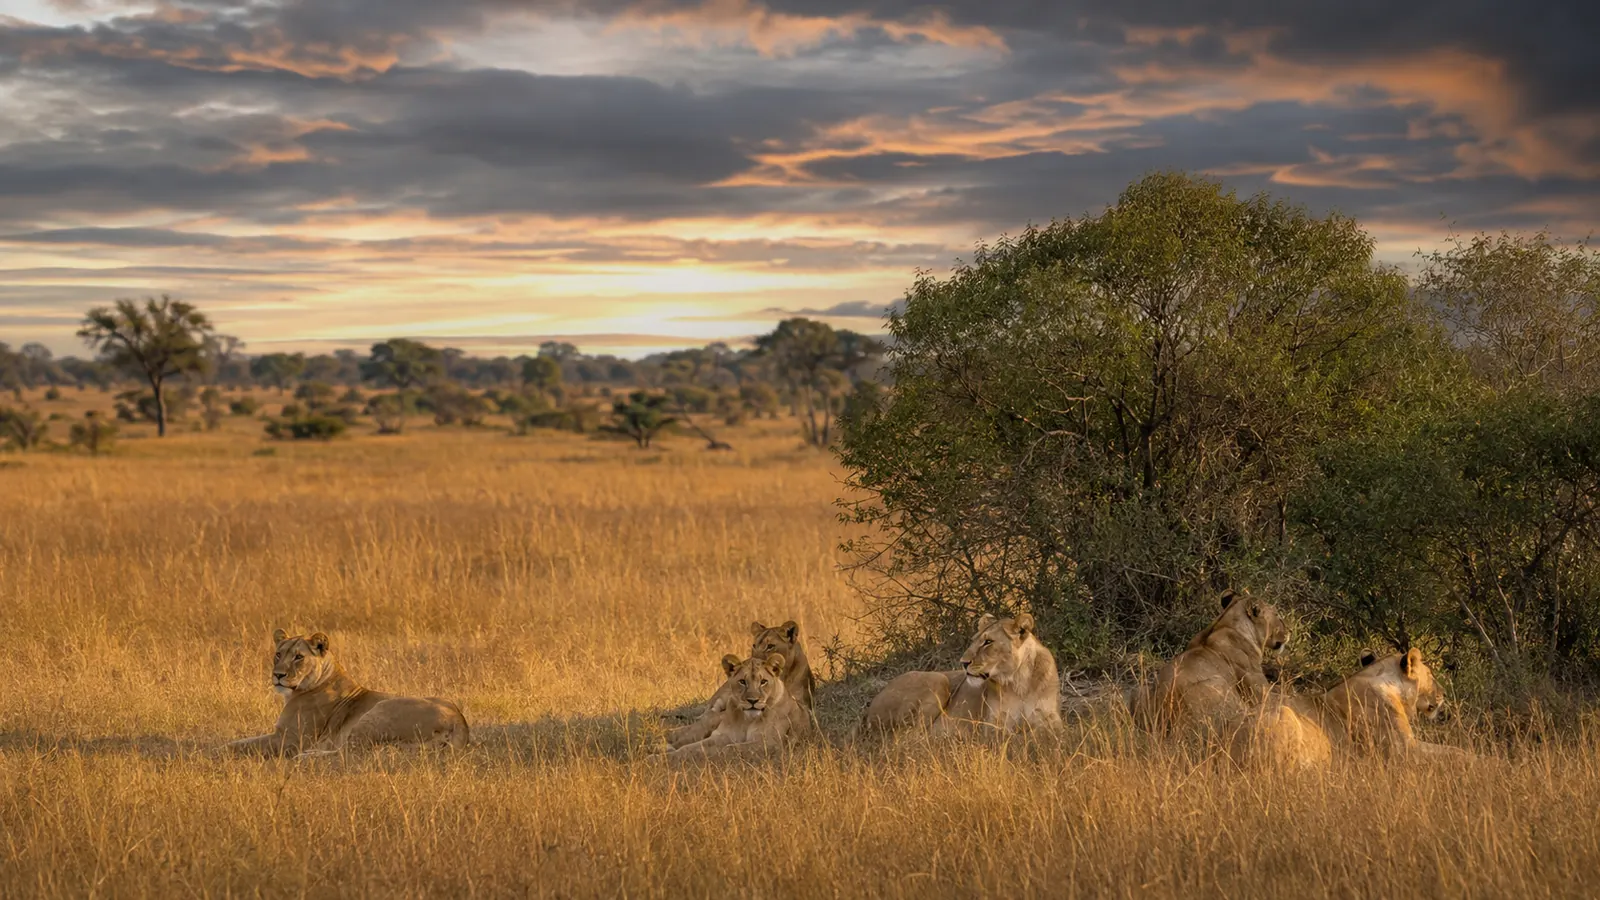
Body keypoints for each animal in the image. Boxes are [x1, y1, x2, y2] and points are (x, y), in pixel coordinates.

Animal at [218, 629, 470, 758]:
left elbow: (243, 745)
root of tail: (460, 723)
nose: (278, 675)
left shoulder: (291, 739)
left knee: (347, 753)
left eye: (298, 657)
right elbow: (243, 740)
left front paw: (216, 751)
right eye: (278, 654)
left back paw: (307, 757)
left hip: (377, 712)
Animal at [659, 653, 811, 759]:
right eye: (742, 681)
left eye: (763, 682)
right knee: (681, 734)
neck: (747, 720)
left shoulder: (768, 743)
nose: (752, 701)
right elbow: (690, 747)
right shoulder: (722, 735)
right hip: (709, 721)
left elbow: (729, 748)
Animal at [861, 613, 1061, 735]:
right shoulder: (992, 724)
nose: (963, 663)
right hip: (938, 679)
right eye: (974, 640)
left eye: (988, 642)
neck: (1019, 681)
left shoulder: (1051, 720)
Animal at [1131, 590, 1289, 734]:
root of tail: (1163, 717)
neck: (1227, 625)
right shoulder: (1259, 689)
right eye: (1277, 615)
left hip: (1140, 690)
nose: (1290, 631)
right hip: (1218, 684)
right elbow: (1284, 695)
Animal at [1232, 647, 1470, 769]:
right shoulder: (1404, 751)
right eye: (1430, 674)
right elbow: (1455, 752)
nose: (1444, 694)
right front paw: (1479, 762)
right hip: (1283, 714)